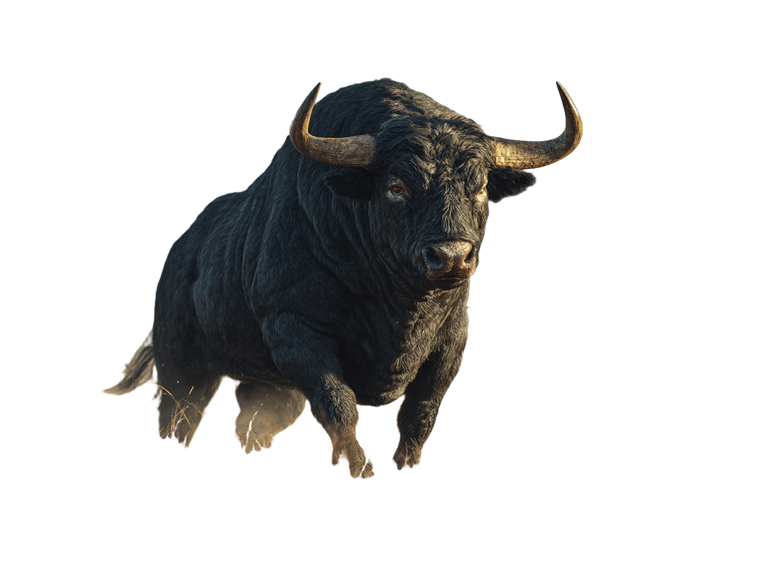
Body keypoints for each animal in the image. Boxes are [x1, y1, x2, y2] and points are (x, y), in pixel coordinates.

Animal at [100, 75, 585, 481]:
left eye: (480, 186)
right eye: (396, 186)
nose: (450, 257)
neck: (401, 310)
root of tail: (180, 254)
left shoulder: (452, 341)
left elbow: (420, 416)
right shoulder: (295, 331)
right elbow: (340, 406)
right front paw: (360, 469)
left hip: (269, 390)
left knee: (251, 428)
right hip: (183, 371)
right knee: (177, 419)